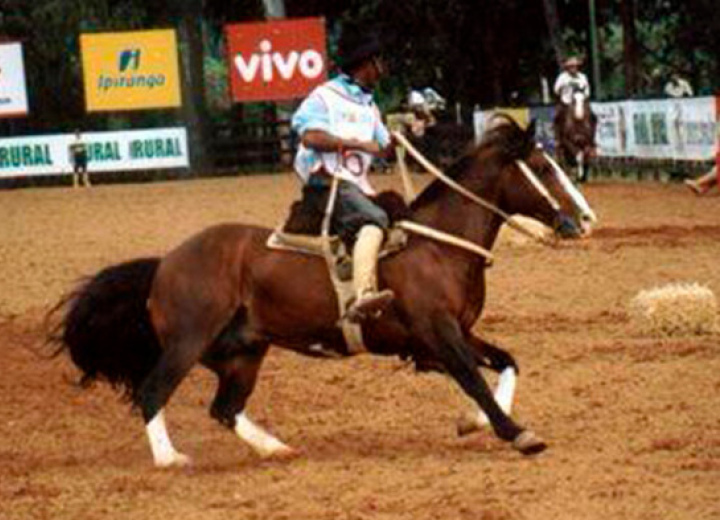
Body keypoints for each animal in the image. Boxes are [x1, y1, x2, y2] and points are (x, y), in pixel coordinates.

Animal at [49, 118, 592, 468]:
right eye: (545, 168)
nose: (585, 218)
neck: (437, 246)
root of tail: (165, 263)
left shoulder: (443, 340)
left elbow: (506, 363)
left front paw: (474, 423)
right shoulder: (438, 335)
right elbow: (475, 379)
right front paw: (515, 432)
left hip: (243, 351)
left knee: (224, 408)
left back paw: (275, 449)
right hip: (187, 342)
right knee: (153, 391)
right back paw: (170, 458)